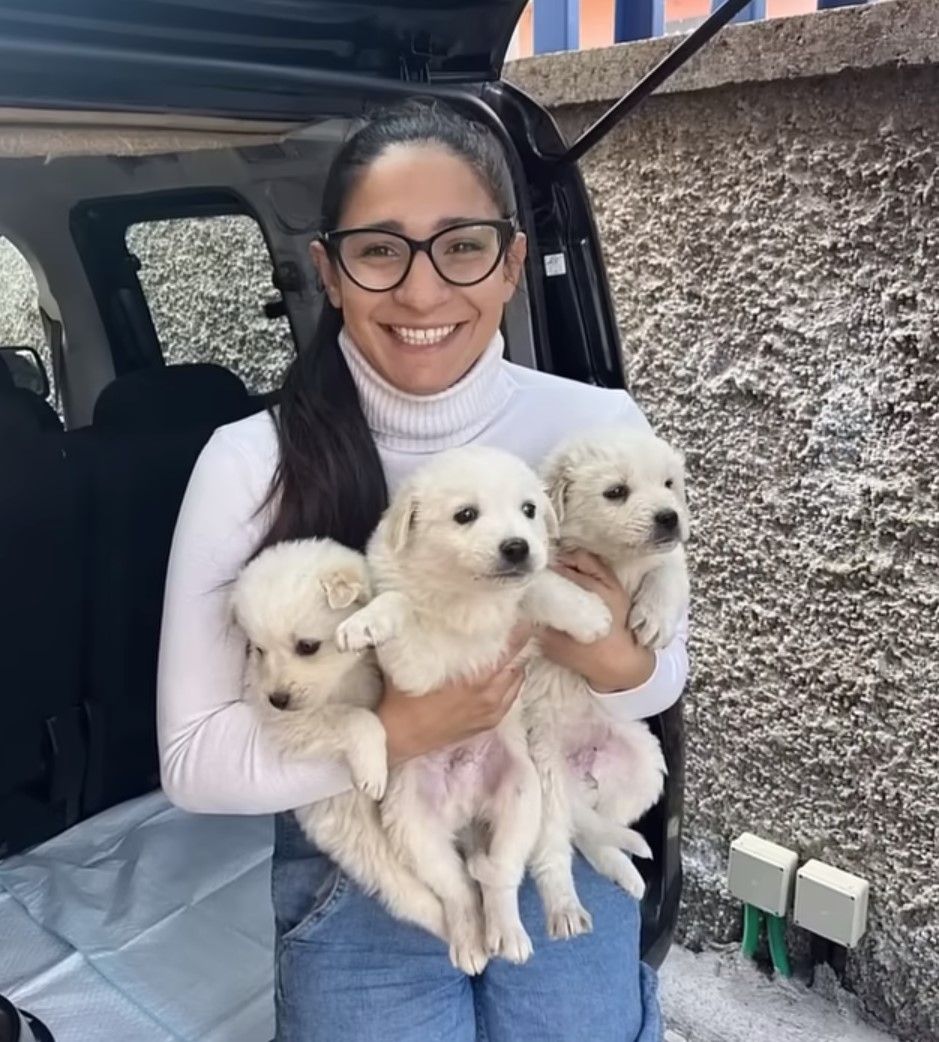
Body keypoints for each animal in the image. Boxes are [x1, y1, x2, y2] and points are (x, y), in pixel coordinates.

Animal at [228, 537, 446, 946]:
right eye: (258, 650)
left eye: (307, 646)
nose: (277, 699)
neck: (342, 679)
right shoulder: (292, 724)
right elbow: (356, 718)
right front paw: (372, 769)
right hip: (364, 843)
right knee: (409, 893)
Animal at [333, 445, 612, 975]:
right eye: (465, 515)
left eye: (529, 510)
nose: (517, 547)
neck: (469, 597)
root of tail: (465, 815)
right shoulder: (416, 672)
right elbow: (400, 603)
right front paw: (365, 623)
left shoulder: (518, 610)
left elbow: (536, 587)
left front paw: (589, 615)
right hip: (414, 830)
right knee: (459, 891)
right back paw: (472, 945)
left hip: (523, 797)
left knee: (499, 876)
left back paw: (509, 934)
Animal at [521, 423, 687, 937]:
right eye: (616, 492)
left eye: (669, 484)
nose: (670, 518)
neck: (616, 558)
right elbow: (548, 586)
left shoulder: (667, 559)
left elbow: (670, 570)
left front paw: (655, 619)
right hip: (540, 784)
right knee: (555, 851)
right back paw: (565, 909)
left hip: (644, 766)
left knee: (597, 833)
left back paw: (626, 872)